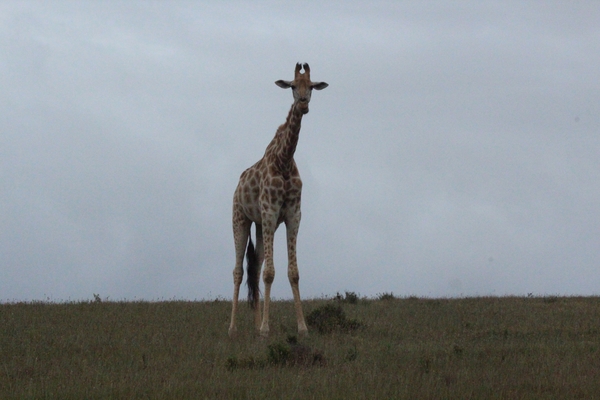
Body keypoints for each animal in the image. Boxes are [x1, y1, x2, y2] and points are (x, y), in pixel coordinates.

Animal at [229, 62, 328, 338]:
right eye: (293, 86)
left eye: (312, 86)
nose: (303, 104)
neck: (284, 160)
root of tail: (237, 186)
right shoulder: (271, 212)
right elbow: (270, 273)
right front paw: (266, 329)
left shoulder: (293, 215)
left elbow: (292, 272)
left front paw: (302, 327)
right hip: (240, 219)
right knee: (238, 271)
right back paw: (233, 327)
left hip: (260, 225)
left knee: (254, 268)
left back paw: (253, 325)